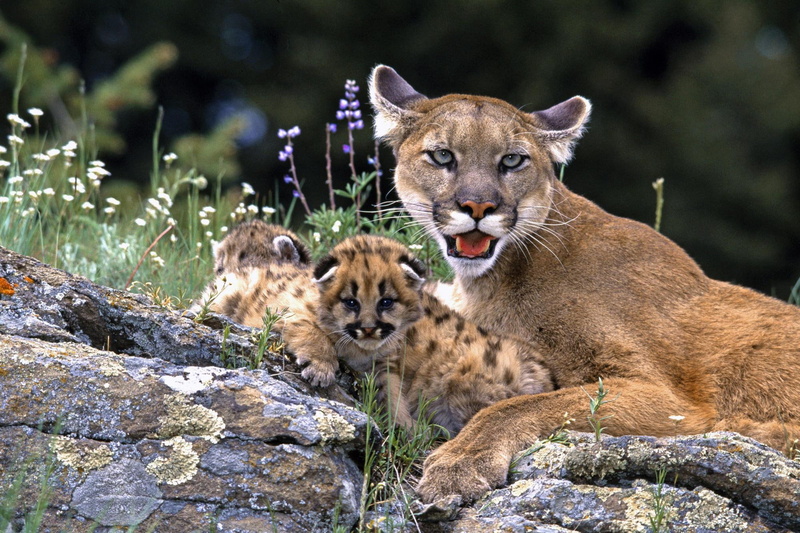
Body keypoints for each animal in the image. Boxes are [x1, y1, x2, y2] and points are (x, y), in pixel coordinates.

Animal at [369, 64, 800, 503]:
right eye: (442, 155)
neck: (495, 278)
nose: (478, 206)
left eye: (512, 160)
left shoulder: (665, 397)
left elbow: (520, 407)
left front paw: (460, 462)